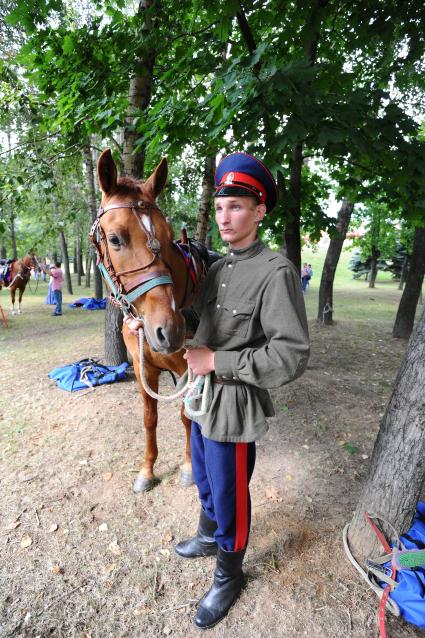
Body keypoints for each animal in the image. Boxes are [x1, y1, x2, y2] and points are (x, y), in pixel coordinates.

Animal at [93, 151, 206, 496]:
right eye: (115, 239)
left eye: (168, 239)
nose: (169, 330)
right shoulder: (144, 367)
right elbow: (149, 419)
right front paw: (147, 470)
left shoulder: (187, 369)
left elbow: (186, 416)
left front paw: (189, 467)